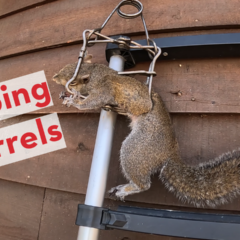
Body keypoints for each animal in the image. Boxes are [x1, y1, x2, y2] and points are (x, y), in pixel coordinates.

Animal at [53, 54, 240, 206]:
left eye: (73, 80)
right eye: (69, 65)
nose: (55, 77)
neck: (96, 73)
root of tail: (170, 153)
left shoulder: (105, 90)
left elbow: (93, 101)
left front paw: (74, 101)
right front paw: (67, 96)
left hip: (135, 151)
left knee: (144, 184)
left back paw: (127, 189)